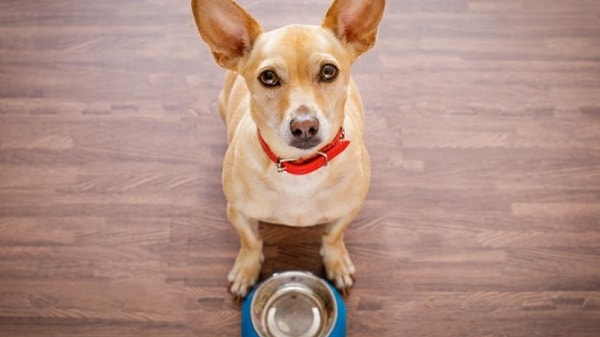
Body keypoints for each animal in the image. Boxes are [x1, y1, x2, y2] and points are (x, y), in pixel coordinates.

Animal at [192, 0, 386, 296]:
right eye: (268, 77)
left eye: (328, 71)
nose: (305, 126)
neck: (300, 168)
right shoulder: (237, 213)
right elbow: (251, 242)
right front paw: (246, 269)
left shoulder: (348, 210)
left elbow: (333, 236)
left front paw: (337, 262)